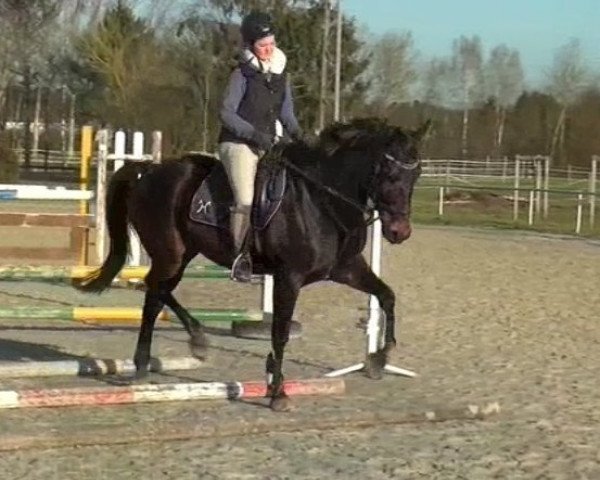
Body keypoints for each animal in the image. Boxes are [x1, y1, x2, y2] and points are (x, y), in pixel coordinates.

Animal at [75, 118, 428, 410]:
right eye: (388, 173)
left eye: (417, 174)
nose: (399, 232)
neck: (321, 200)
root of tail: (149, 172)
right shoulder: (289, 278)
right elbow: (280, 332)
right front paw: (278, 393)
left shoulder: (347, 269)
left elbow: (386, 296)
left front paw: (379, 358)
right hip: (170, 253)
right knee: (154, 293)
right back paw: (151, 360)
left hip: (184, 254)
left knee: (158, 291)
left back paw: (190, 342)